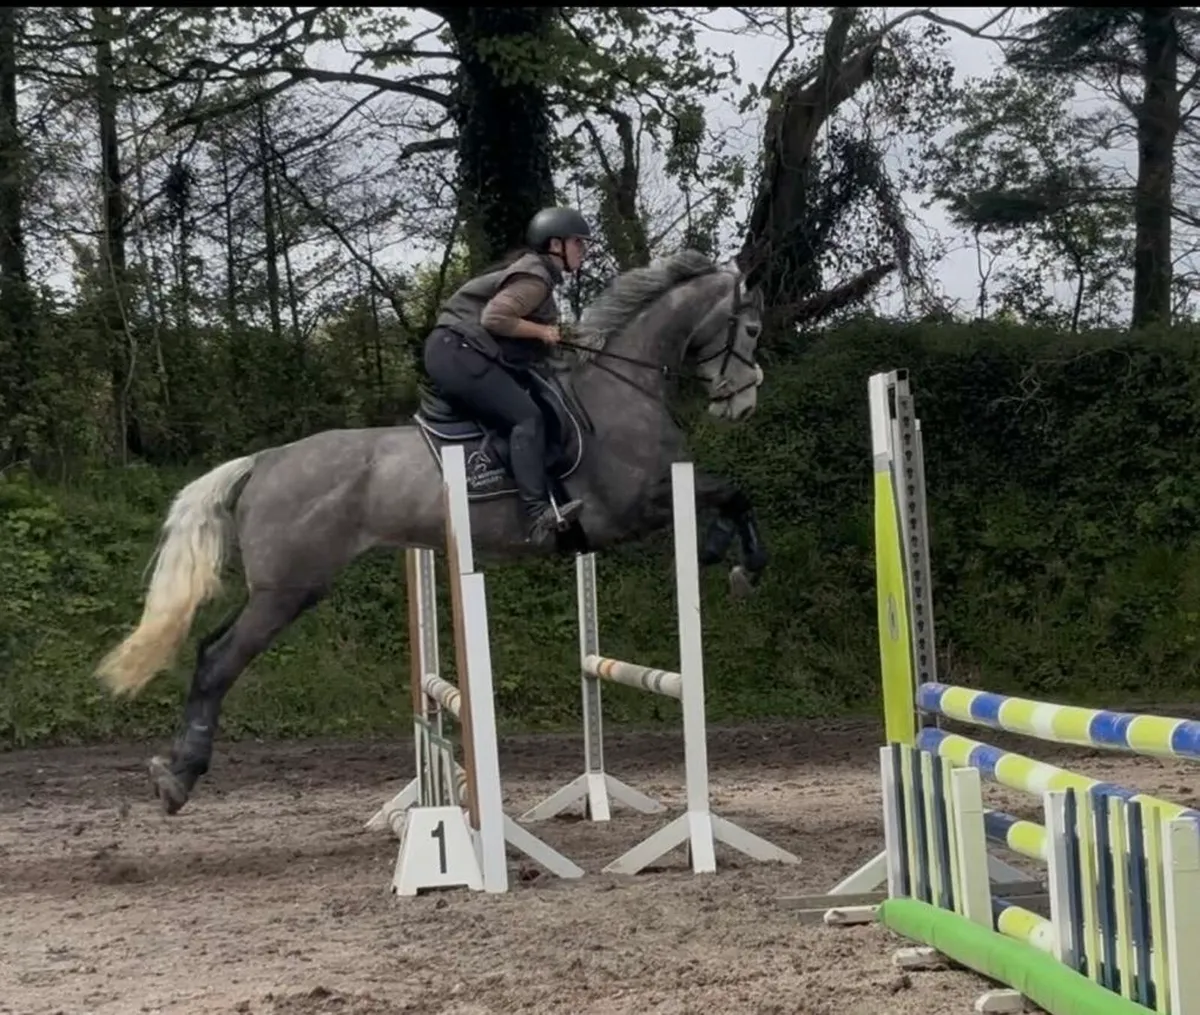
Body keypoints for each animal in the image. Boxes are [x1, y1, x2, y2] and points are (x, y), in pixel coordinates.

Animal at [94, 248, 769, 815]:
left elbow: (728, 498)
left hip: (282, 589)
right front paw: (741, 564)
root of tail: (264, 460)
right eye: (753, 330)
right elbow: (733, 492)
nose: (742, 404)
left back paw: (175, 770)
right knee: (217, 660)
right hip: (289, 590)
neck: (621, 388)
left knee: (210, 650)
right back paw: (178, 778)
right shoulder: (633, 507)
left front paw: (722, 554)